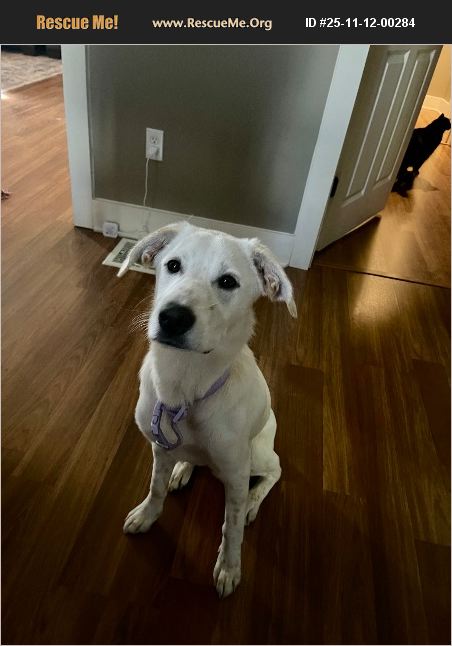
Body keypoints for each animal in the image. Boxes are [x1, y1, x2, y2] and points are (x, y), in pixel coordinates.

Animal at [118, 222, 297, 597]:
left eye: (228, 281)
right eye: (173, 265)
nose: (172, 318)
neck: (184, 386)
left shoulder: (237, 472)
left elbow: (232, 527)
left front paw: (229, 568)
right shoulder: (159, 447)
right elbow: (155, 487)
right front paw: (147, 515)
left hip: (258, 455)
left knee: (275, 470)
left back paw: (255, 499)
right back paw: (184, 468)